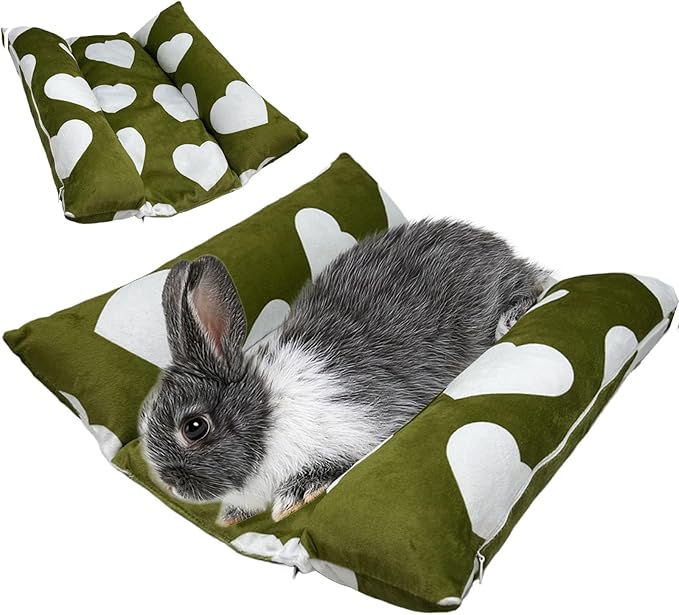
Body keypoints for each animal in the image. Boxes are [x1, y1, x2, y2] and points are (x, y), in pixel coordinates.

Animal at [139, 219, 550, 525]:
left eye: (194, 427)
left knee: (533, 283)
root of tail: (495, 246)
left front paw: (296, 495)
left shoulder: (362, 426)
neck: (269, 415)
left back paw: (511, 317)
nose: (171, 485)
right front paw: (232, 515)